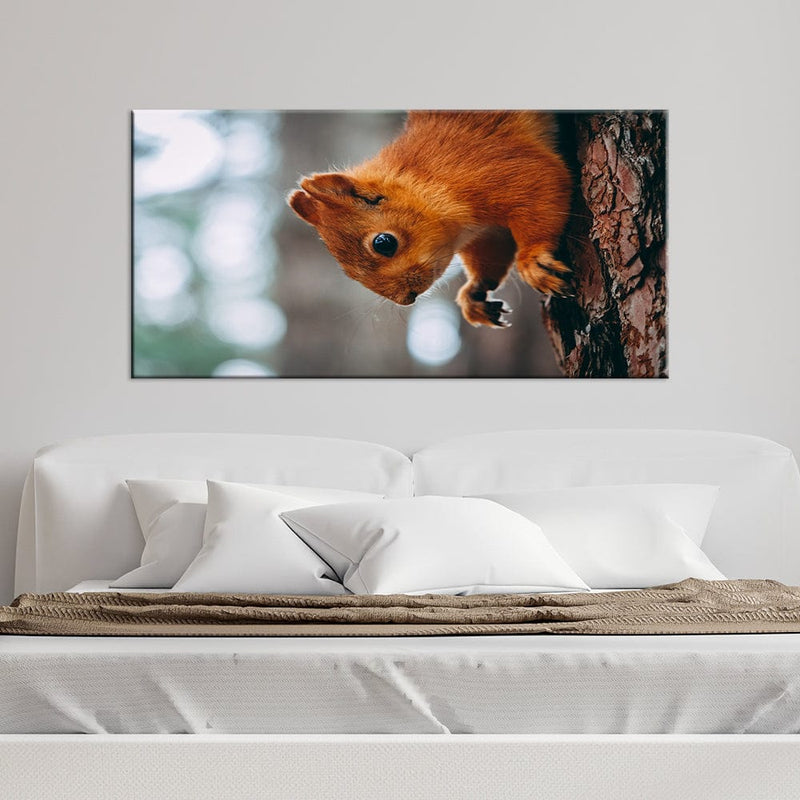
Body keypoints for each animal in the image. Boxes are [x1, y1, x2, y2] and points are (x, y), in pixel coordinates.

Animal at [288, 111, 573, 328]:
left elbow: (543, 181)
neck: (425, 179)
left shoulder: (497, 166)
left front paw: (533, 259)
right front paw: (474, 293)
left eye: (384, 243)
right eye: (347, 272)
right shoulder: (486, 232)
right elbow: (490, 254)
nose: (407, 298)